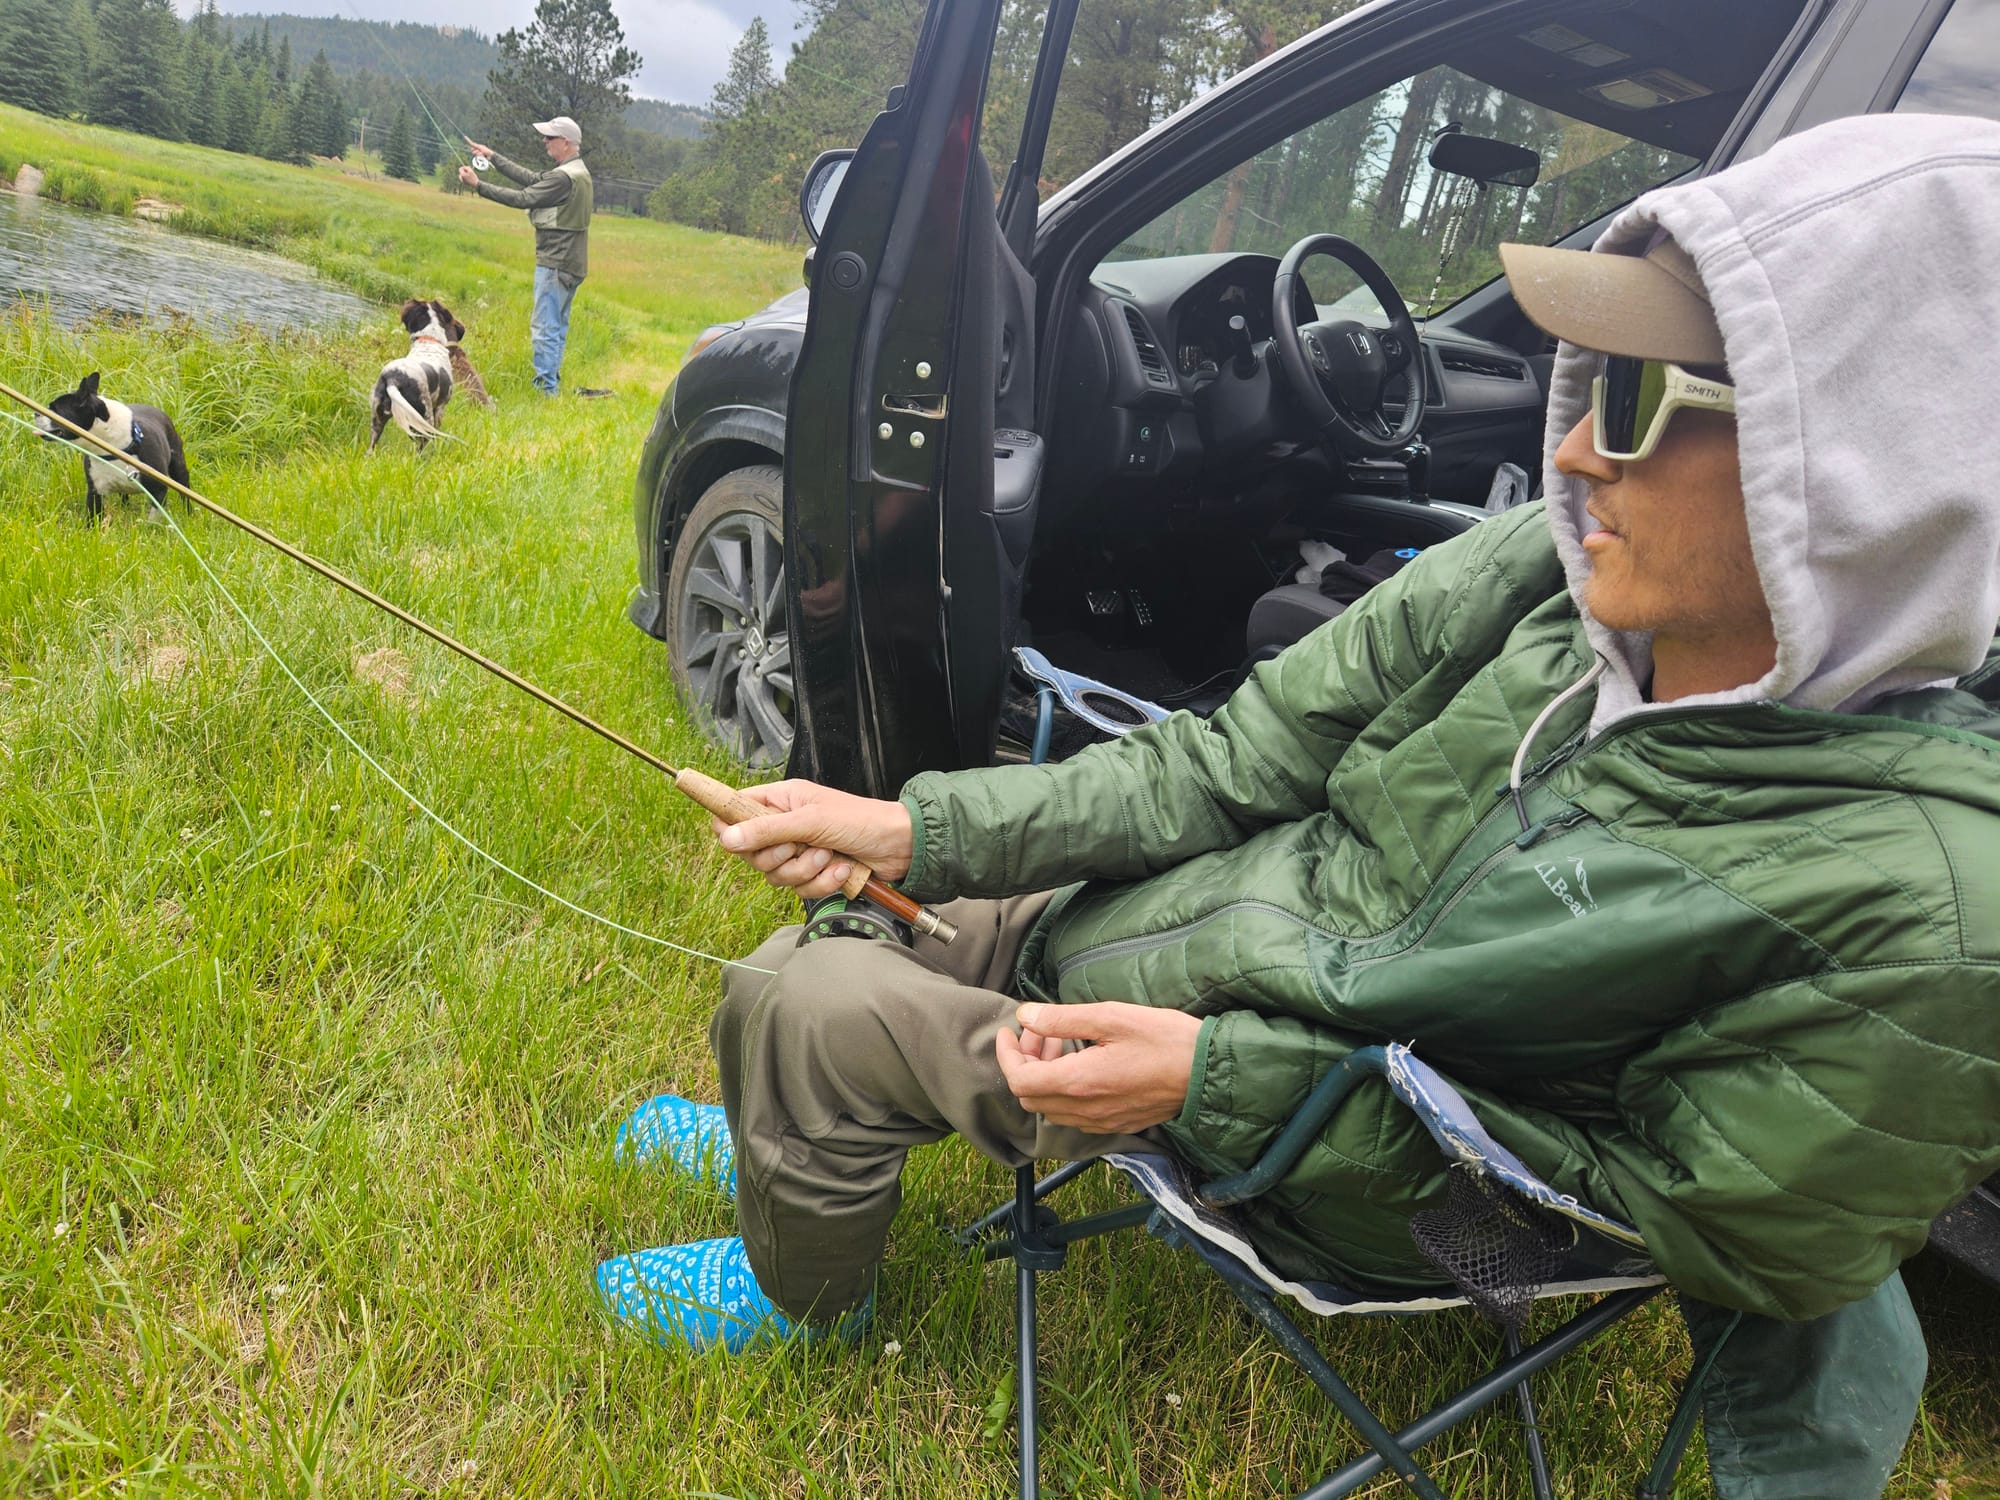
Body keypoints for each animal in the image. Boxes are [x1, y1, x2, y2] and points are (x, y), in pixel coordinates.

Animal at [37, 370, 189, 524]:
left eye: (55, 410)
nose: (36, 413)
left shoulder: (158, 490)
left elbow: (153, 518)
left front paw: (150, 527)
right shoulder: (95, 490)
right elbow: (93, 517)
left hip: (178, 465)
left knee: (184, 491)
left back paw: (189, 513)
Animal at [366, 300, 462, 452]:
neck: (429, 340)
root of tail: (394, 379)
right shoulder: (440, 408)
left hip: (377, 419)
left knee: (371, 447)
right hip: (424, 417)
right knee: (421, 446)